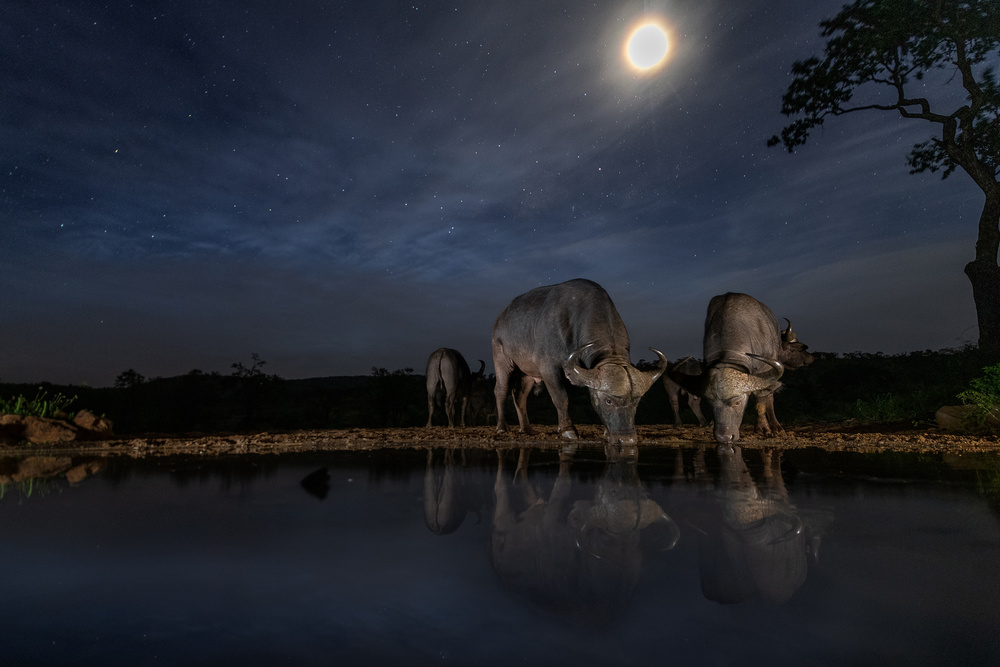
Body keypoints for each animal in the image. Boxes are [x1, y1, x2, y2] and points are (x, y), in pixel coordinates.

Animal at [490, 280, 668, 446]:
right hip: (501, 359)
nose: (627, 440)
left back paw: (527, 429)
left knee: (520, 395)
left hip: (526, 372)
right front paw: (567, 430)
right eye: (608, 401)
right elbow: (561, 397)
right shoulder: (548, 368)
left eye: (636, 402)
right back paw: (502, 427)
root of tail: (500, 318)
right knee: (501, 390)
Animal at [672, 292, 812, 444]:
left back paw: (776, 426)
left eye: (738, 402)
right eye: (710, 403)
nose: (724, 437)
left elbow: (762, 399)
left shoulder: (764, 371)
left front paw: (764, 428)